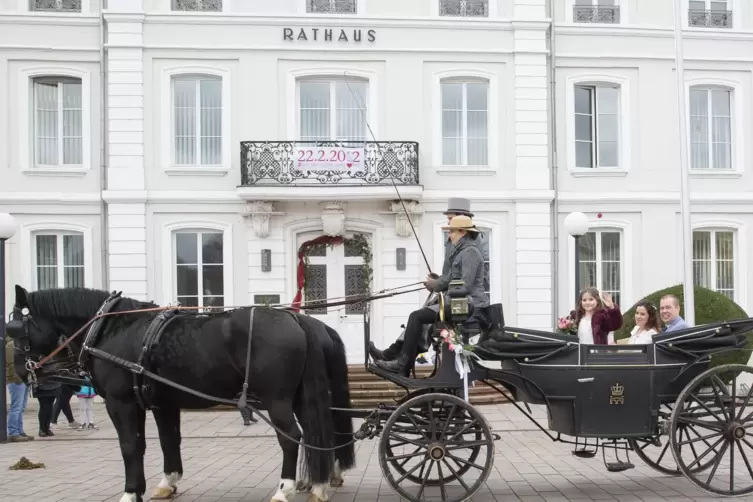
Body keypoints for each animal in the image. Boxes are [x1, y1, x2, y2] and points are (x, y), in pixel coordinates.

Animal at [8, 286, 356, 502]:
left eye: (14, 328)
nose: (22, 372)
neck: (115, 329)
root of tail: (294, 317)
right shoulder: (163, 403)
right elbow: (167, 441)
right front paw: (166, 483)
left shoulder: (121, 404)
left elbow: (130, 447)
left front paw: (131, 491)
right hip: (300, 397)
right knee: (316, 434)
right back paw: (318, 484)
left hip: (278, 400)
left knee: (292, 437)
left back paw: (285, 488)